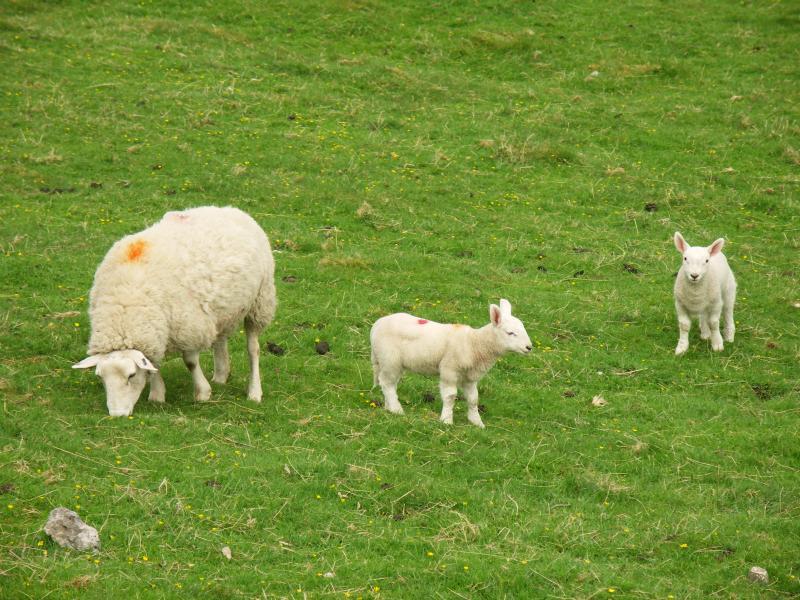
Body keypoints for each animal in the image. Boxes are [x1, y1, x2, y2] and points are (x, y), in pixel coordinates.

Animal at [72, 206, 276, 417]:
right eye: (100, 377)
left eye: (131, 375)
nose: (117, 415)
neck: (126, 307)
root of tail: (230, 209)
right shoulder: (158, 328)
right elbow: (154, 364)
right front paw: (157, 395)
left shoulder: (188, 324)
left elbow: (190, 361)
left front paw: (203, 393)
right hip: (221, 310)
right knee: (220, 339)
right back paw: (220, 375)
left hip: (260, 301)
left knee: (253, 349)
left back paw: (254, 392)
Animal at [370, 299, 532, 428]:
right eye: (510, 333)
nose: (529, 347)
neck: (474, 343)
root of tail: (377, 325)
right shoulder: (450, 370)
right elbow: (450, 396)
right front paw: (446, 420)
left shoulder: (470, 377)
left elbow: (473, 399)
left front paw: (477, 422)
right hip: (389, 359)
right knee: (387, 383)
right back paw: (397, 410)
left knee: (389, 383)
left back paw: (388, 407)